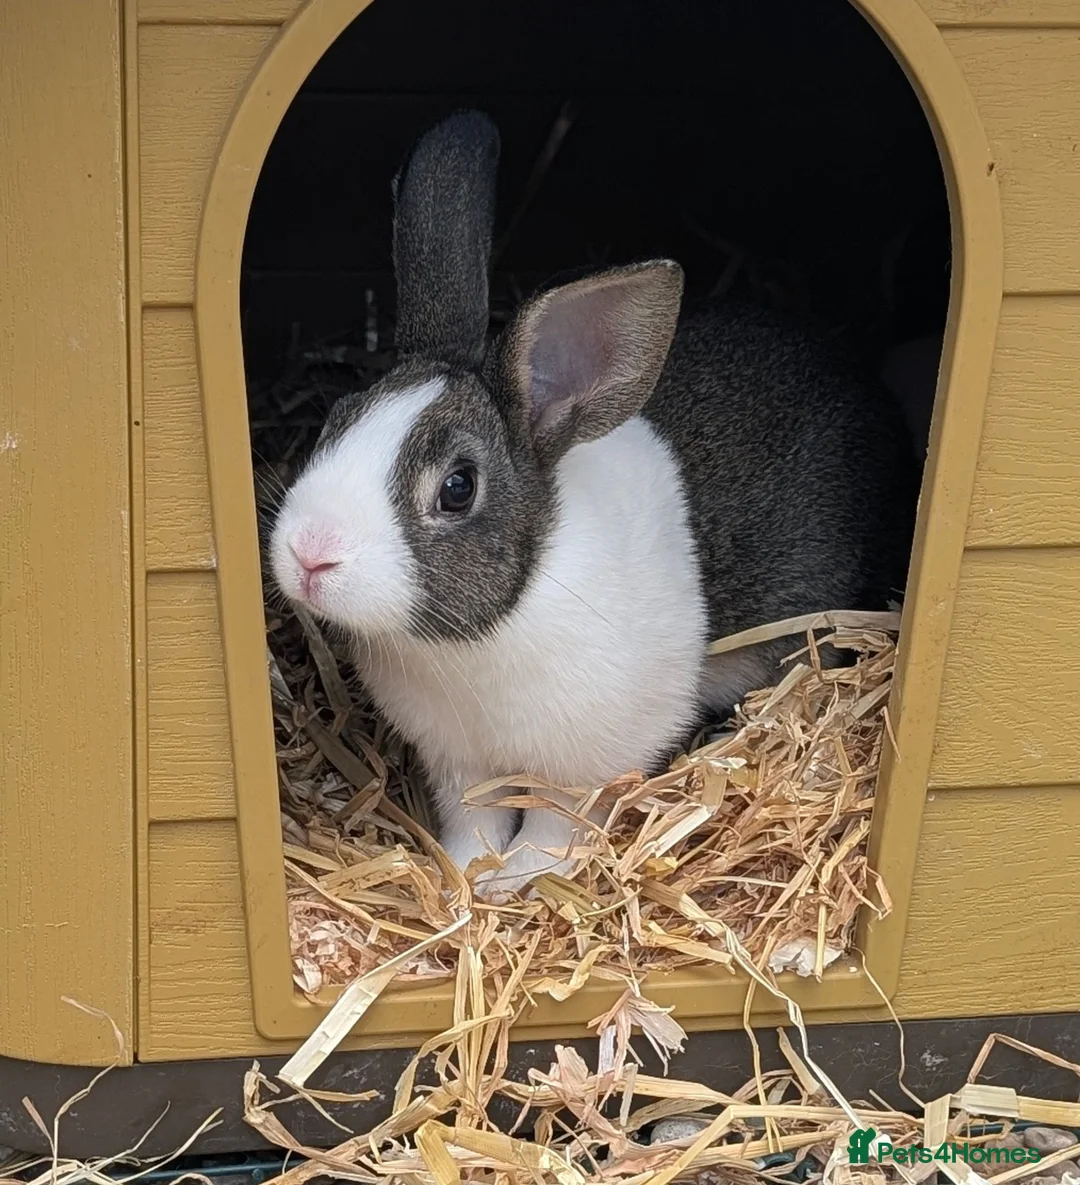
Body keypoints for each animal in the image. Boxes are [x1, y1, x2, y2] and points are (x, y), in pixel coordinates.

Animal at [268, 109, 919, 898]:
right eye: (336, 420)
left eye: (457, 487)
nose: (309, 553)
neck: (480, 638)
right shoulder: (460, 764)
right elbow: (472, 822)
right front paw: (465, 880)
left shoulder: (585, 770)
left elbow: (552, 832)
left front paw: (512, 885)